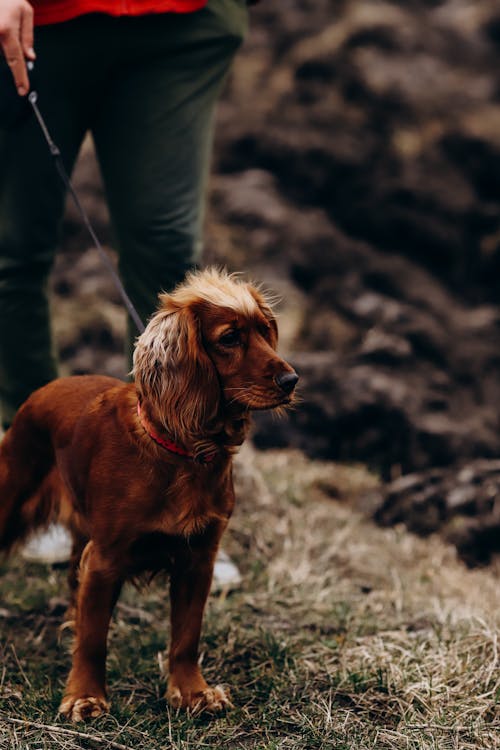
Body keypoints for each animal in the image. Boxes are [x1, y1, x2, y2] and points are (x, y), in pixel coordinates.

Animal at [0, 268, 296, 724]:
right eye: (230, 338)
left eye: (266, 331)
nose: (291, 381)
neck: (183, 452)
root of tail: (46, 388)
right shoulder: (105, 559)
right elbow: (94, 640)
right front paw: (85, 696)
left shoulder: (198, 559)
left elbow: (186, 637)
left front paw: (192, 692)